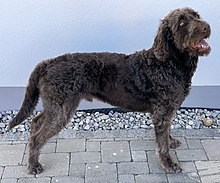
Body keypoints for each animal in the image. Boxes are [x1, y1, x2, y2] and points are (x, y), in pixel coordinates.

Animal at [8, 7, 211, 174]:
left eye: (196, 15)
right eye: (182, 22)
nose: (207, 27)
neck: (169, 62)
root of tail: (48, 62)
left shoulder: (167, 110)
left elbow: (166, 133)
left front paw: (170, 140)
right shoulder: (162, 112)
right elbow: (162, 145)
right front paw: (168, 163)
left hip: (56, 104)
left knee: (36, 121)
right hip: (61, 109)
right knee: (37, 137)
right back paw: (33, 165)